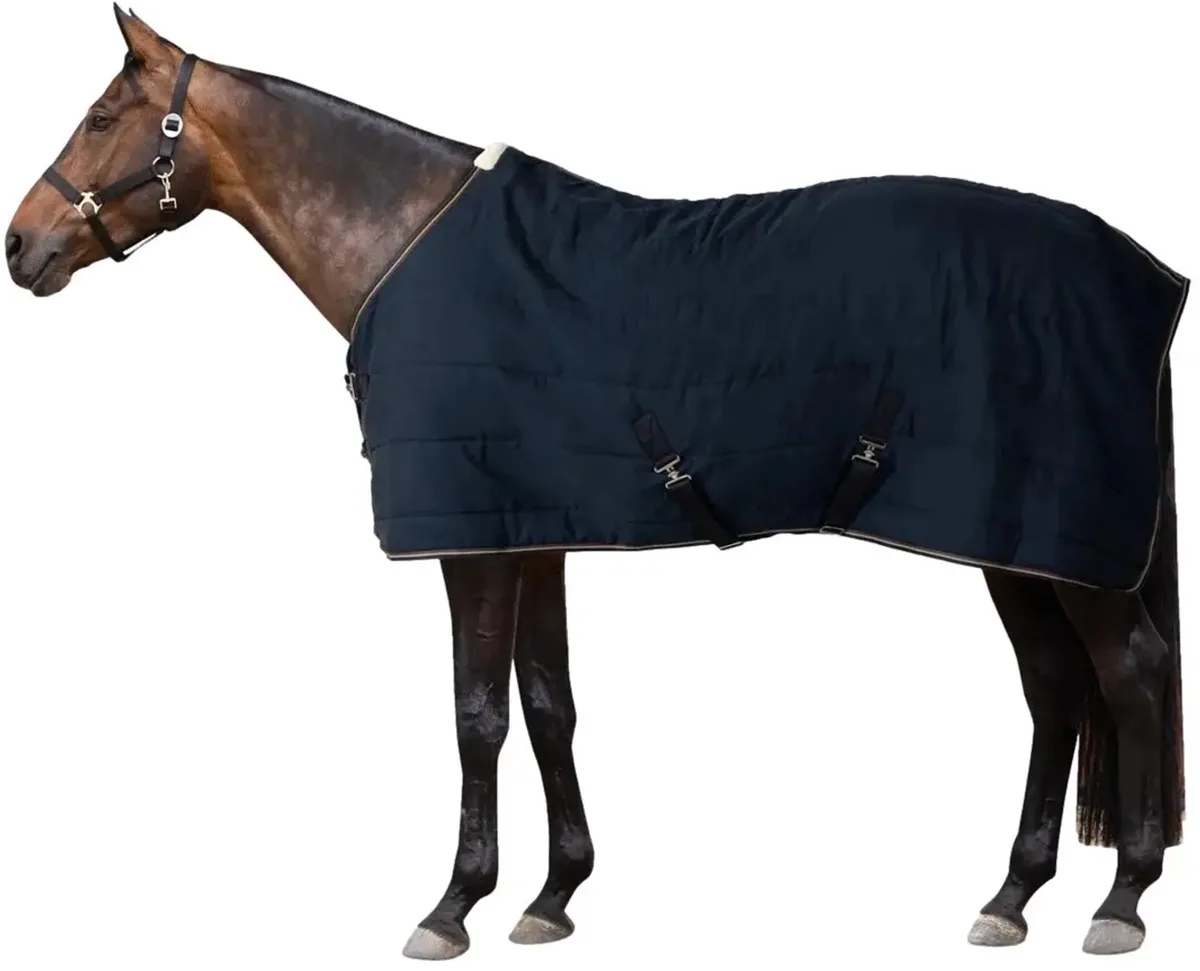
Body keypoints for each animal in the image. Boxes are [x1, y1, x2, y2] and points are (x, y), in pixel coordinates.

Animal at [4, 7, 1187, 960]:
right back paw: (1012, 894)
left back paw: (1122, 900)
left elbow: (477, 713)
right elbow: (549, 703)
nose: (21, 246)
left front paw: (453, 906)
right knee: (1057, 685)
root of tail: (1145, 274)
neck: (409, 244)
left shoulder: (471, 539)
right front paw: (553, 895)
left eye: (102, 118)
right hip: (1008, 534)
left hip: (1059, 544)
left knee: (1129, 674)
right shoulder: (533, 530)